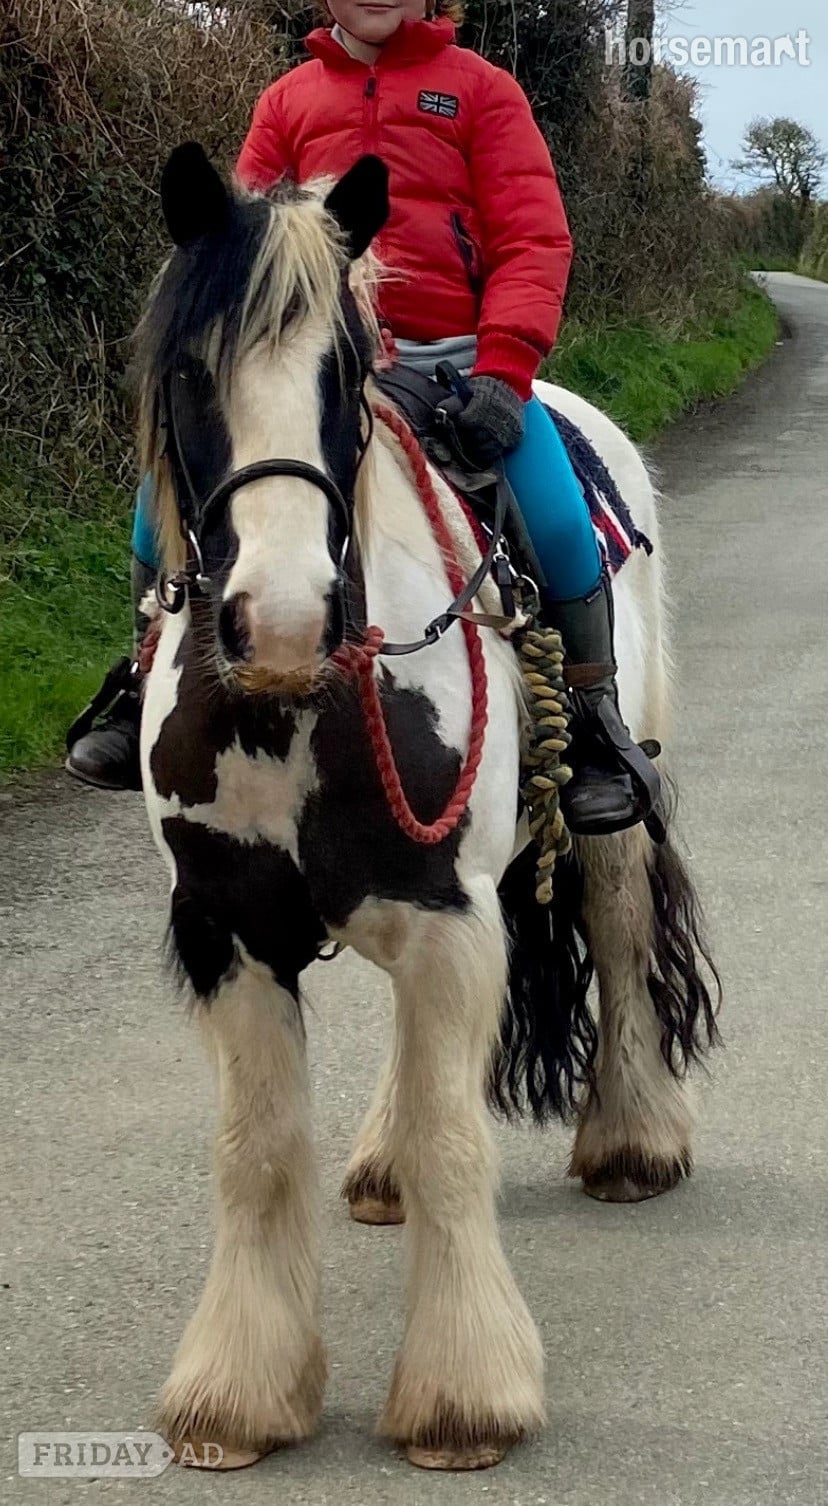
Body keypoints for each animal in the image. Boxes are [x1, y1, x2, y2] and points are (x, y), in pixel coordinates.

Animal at [137, 143, 718, 1473]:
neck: (298, 706)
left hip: (608, 812)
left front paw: (464, 1396)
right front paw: (237, 1394)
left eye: (343, 376)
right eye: (192, 372)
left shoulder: (451, 918)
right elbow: (256, 1151)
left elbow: (458, 1144)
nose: (282, 620)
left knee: (615, 927)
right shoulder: (229, 927)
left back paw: (632, 1142)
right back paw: (382, 1162)